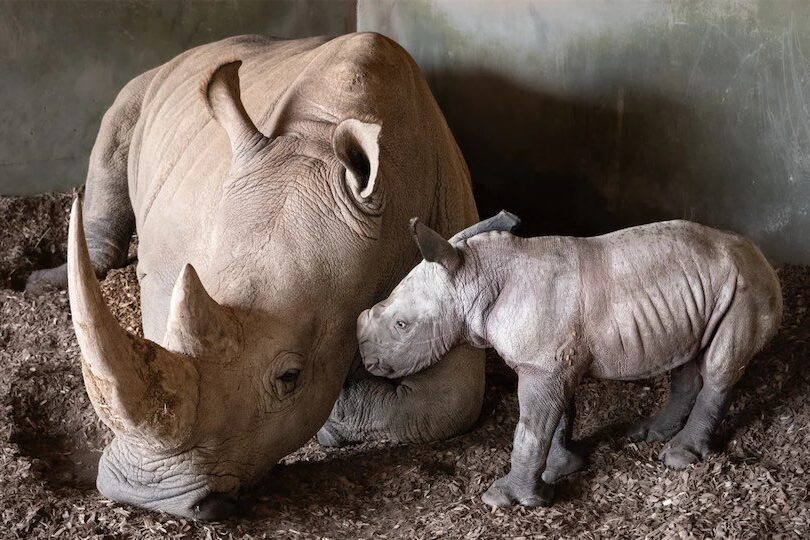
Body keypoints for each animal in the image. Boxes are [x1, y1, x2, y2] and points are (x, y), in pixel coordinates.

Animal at [357, 215, 782, 508]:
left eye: (401, 325)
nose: (367, 361)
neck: (474, 276)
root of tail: (762, 256)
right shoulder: (551, 361)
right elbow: (557, 416)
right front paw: (560, 468)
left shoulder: (544, 364)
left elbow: (531, 428)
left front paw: (508, 499)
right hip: (706, 291)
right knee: (688, 358)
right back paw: (649, 434)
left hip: (743, 287)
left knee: (718, 368)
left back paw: (678, 457)